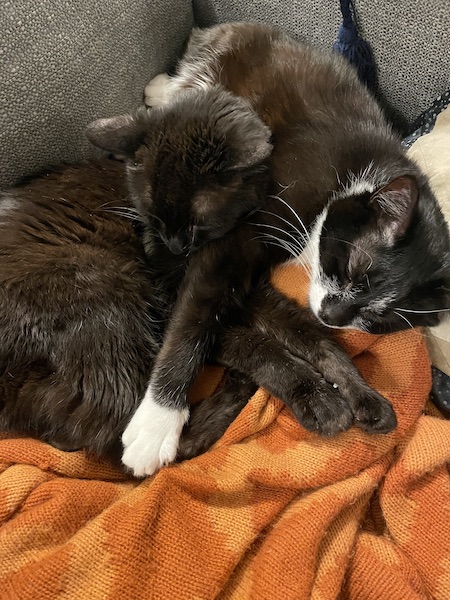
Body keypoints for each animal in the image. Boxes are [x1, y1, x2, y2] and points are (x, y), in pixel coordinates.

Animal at [88, 23, 450, 476]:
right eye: (351, 266)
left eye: (380, 319)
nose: (333, 314)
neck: (356, 179)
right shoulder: (230, 241)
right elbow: (192, 324)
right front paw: (156, 424)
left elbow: (311, 337)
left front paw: (361, 394)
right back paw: (158, 89)